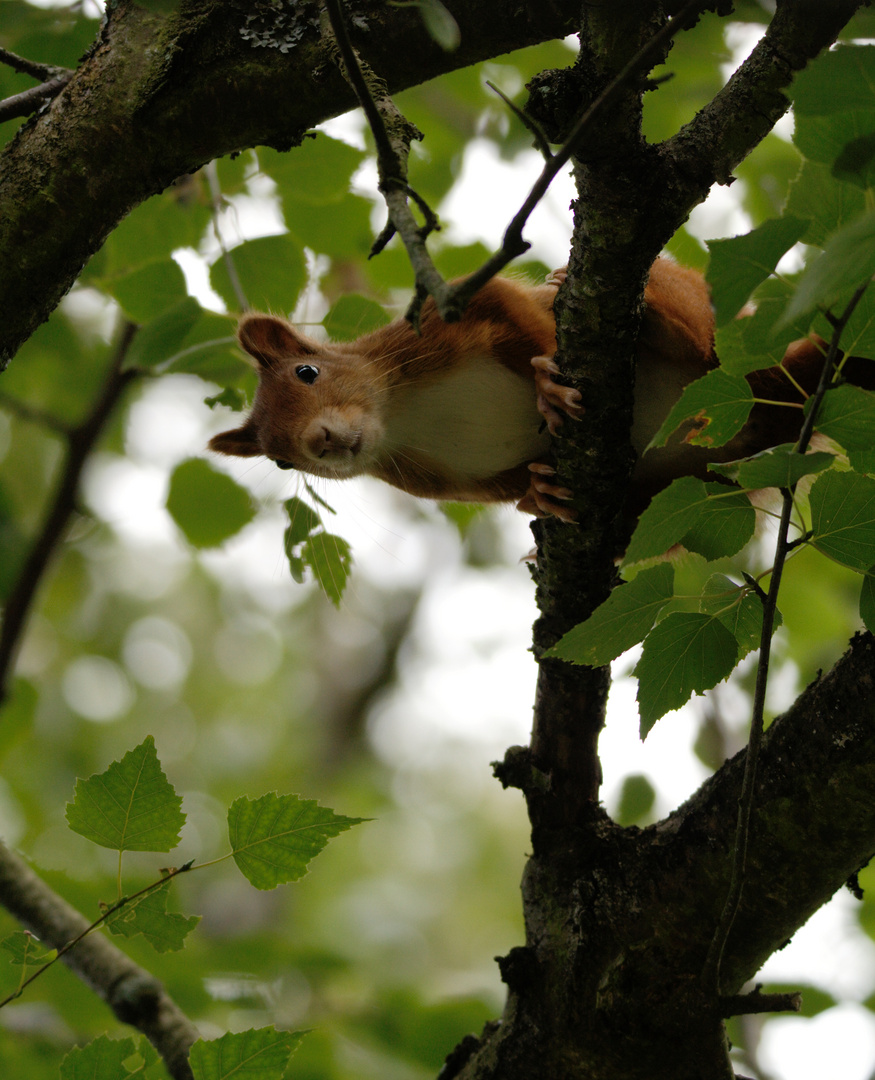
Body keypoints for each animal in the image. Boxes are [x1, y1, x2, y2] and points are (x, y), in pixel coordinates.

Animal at [209, 257, 838, 518]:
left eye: (307, 372)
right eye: (281, 462)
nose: (317, 443)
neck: (401, 417)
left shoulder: (444, 320)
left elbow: (527, 319)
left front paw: (547, 387)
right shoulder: (444, 479)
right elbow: (510, 488)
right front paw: (538, 494)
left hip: (711, 329)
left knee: (698, 340)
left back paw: (657, 313)